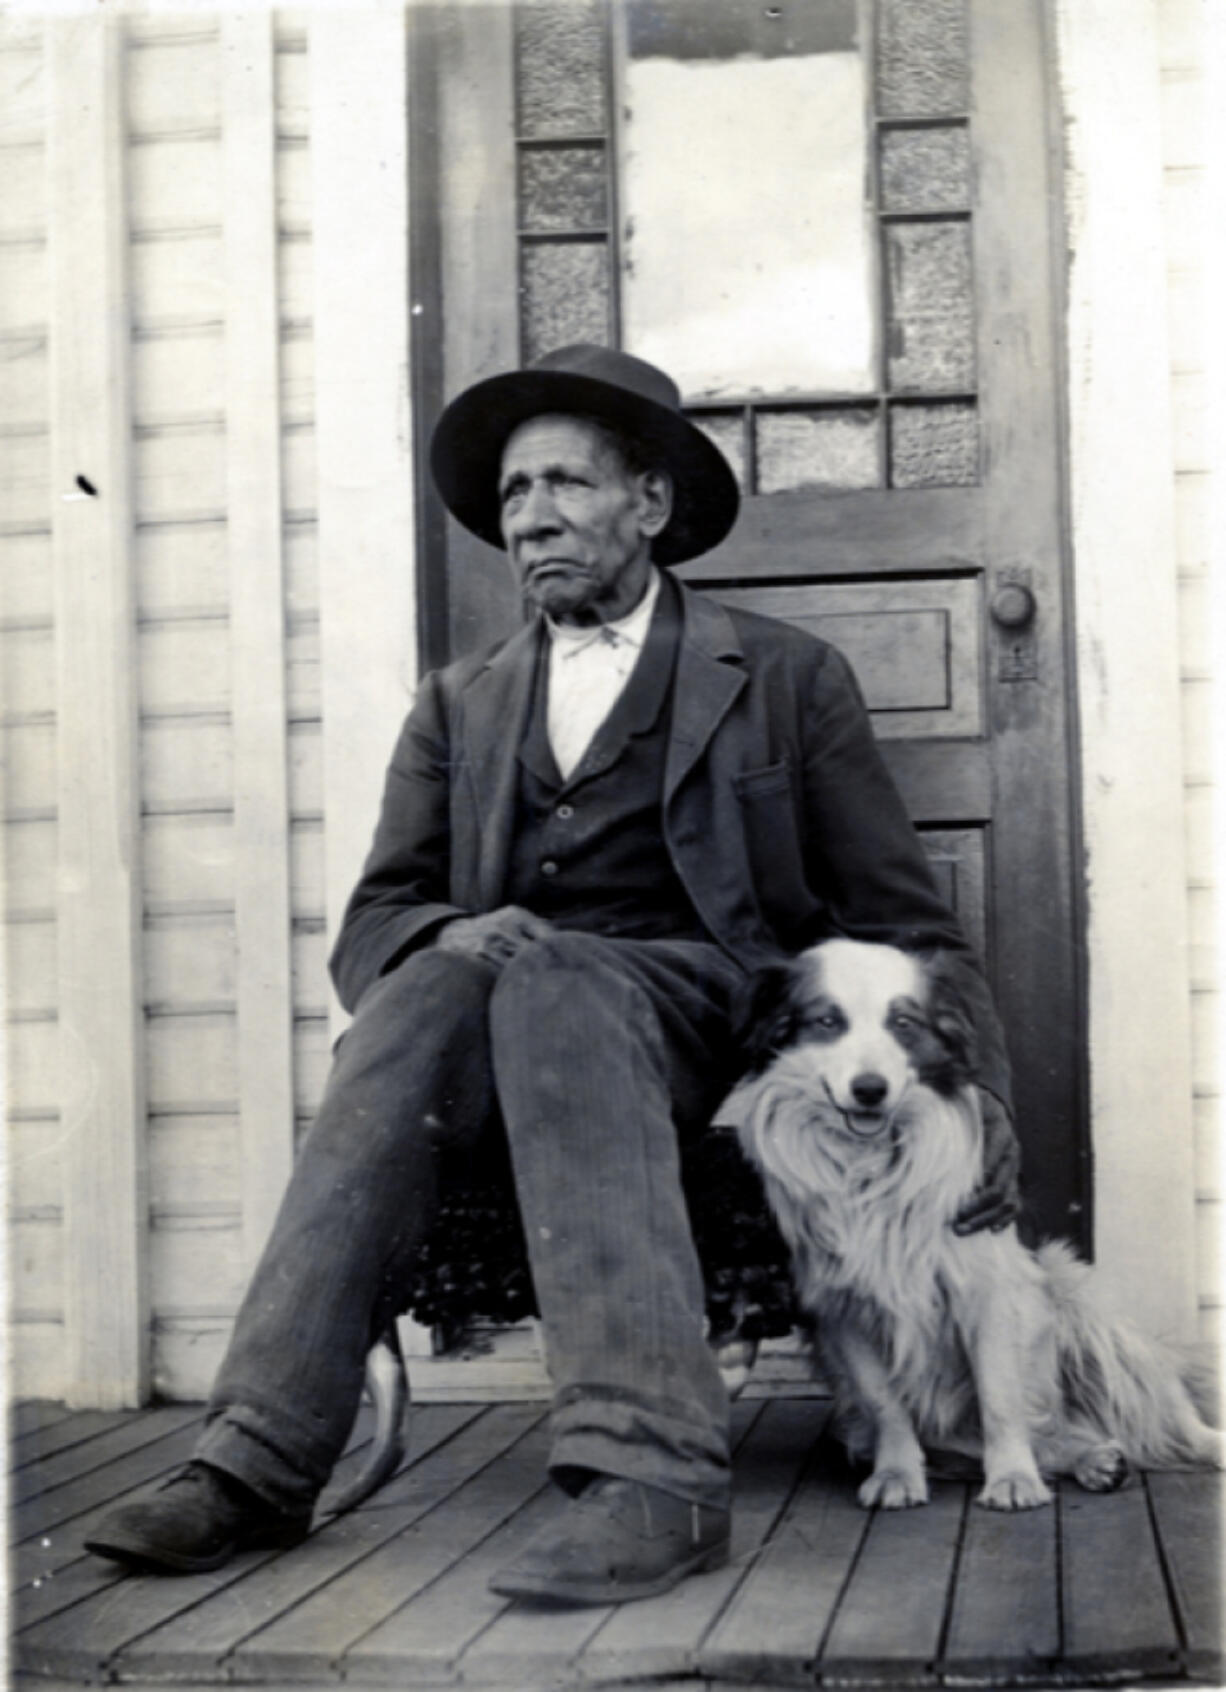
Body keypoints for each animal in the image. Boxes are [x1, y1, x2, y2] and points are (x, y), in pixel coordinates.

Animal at [730, 940, 1217, 1509]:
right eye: (827, 1022)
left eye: (903, 1024)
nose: (870, 1090)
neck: (873, 1164)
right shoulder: (841, 1309)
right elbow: (884, 1402)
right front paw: (897, 1474)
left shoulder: (989, 1292)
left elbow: (1000, 1397)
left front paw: (1012, 1479)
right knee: (1057, 1436)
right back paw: (1096, 1460)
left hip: (1080, 1307)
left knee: (1158, 1415)